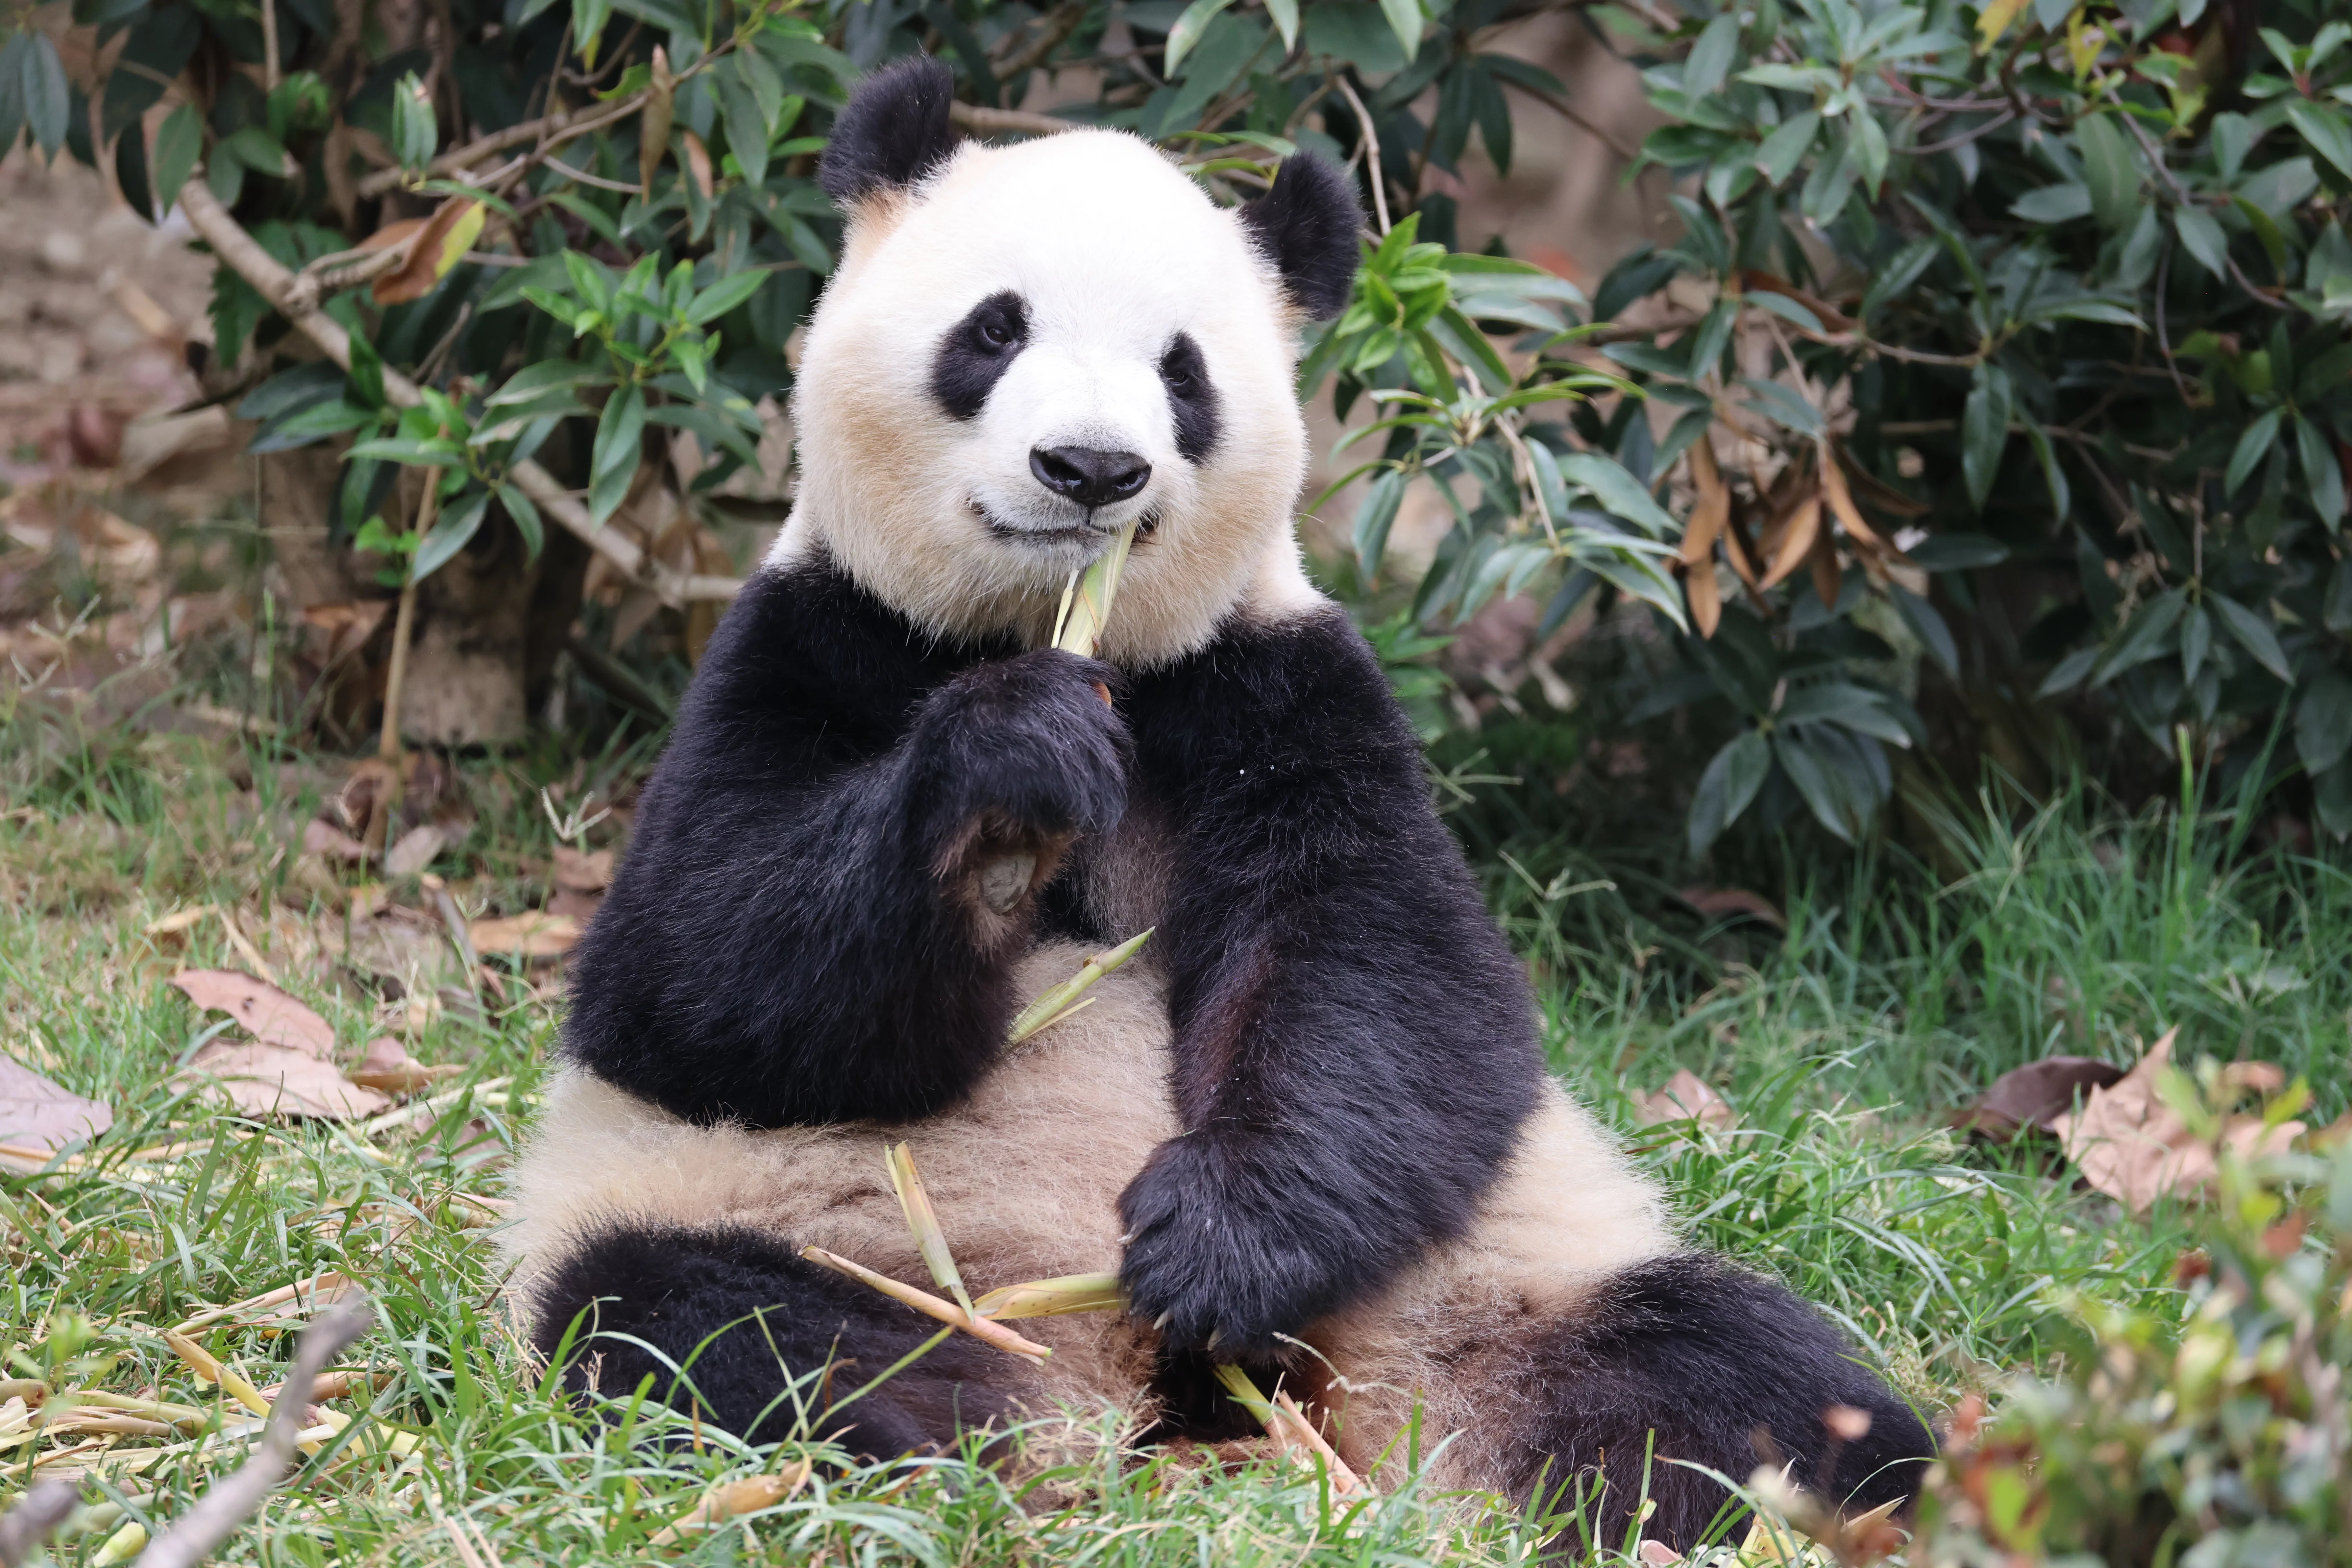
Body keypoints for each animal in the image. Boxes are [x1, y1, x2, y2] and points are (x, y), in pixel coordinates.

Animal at [501, 55, 1935, 1546]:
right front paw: (1008, 778)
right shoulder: (810, 637)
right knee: (709, 1330)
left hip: (1480, 1270)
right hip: (813, 1224)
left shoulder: (1276, 689)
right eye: (994, 331)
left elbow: (1386, 973)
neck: (1056, 630)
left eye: (1181, 372)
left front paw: (1219, 1237)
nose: (1090, 469)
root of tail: (1134, 1382)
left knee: (1721, 1368)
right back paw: (932, 1470)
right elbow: (692, 970)